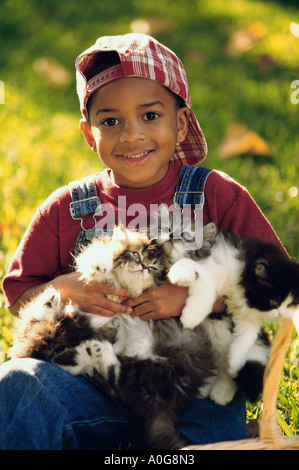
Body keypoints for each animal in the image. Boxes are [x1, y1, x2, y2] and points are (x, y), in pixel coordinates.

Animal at [165, 221, 298, 378]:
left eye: (290, 305)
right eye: (274, 302)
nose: (281, 313)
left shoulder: (248, 315)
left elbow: (246, 337)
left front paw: (235, 365)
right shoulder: (209, 268)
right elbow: (204, 288)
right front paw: (190, 318)